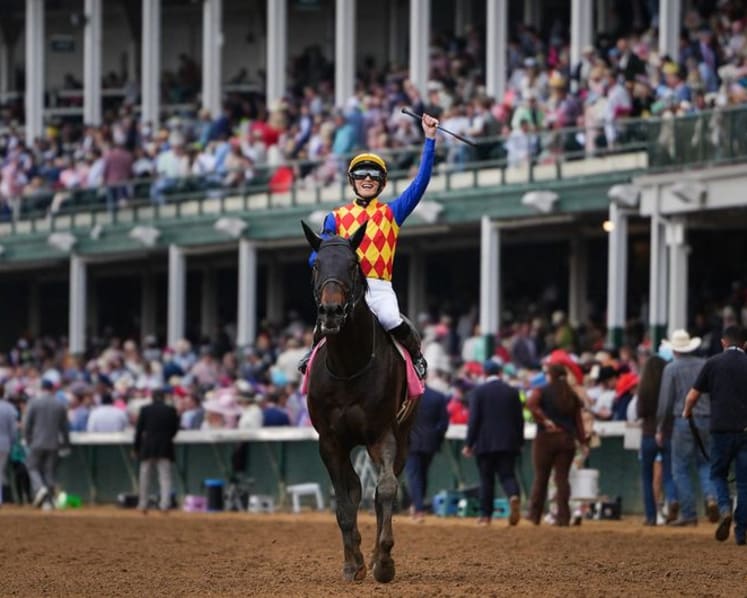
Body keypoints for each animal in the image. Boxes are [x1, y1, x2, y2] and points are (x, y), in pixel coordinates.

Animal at [301, 220, 417, 583]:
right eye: (316, 266)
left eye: (353, 265)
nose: (331, 312)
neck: (348, 366)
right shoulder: (330, 441)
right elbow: (344, 502)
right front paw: (353, 564)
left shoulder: (382, 434)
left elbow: (386, 490)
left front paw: (384, 561)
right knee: (352, 488)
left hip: (403, 433)